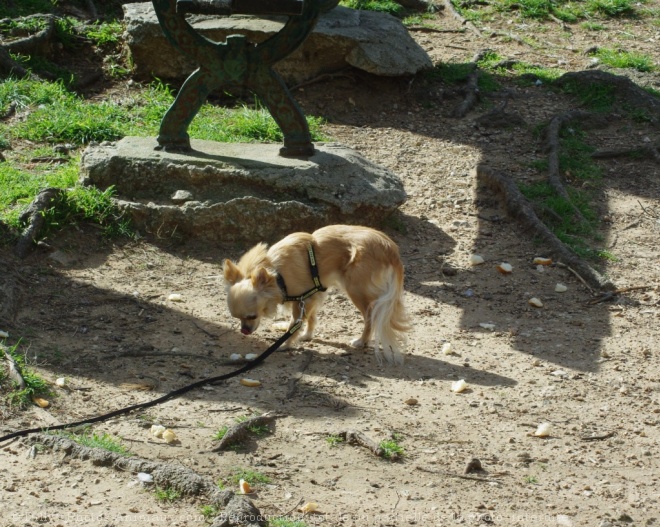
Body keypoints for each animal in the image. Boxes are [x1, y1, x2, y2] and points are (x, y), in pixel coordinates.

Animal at [224, 225, 410, 366]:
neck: (276, 273)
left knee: (370, 317)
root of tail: (391, 250)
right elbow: (311, 318)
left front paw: (286, 344)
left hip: (355, 290)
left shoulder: (300, 300)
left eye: (252, 316)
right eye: (237, 318)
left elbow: (294, 324)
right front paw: (307, 335)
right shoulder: (311, 296)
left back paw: (362, 341)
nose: (244, 330)